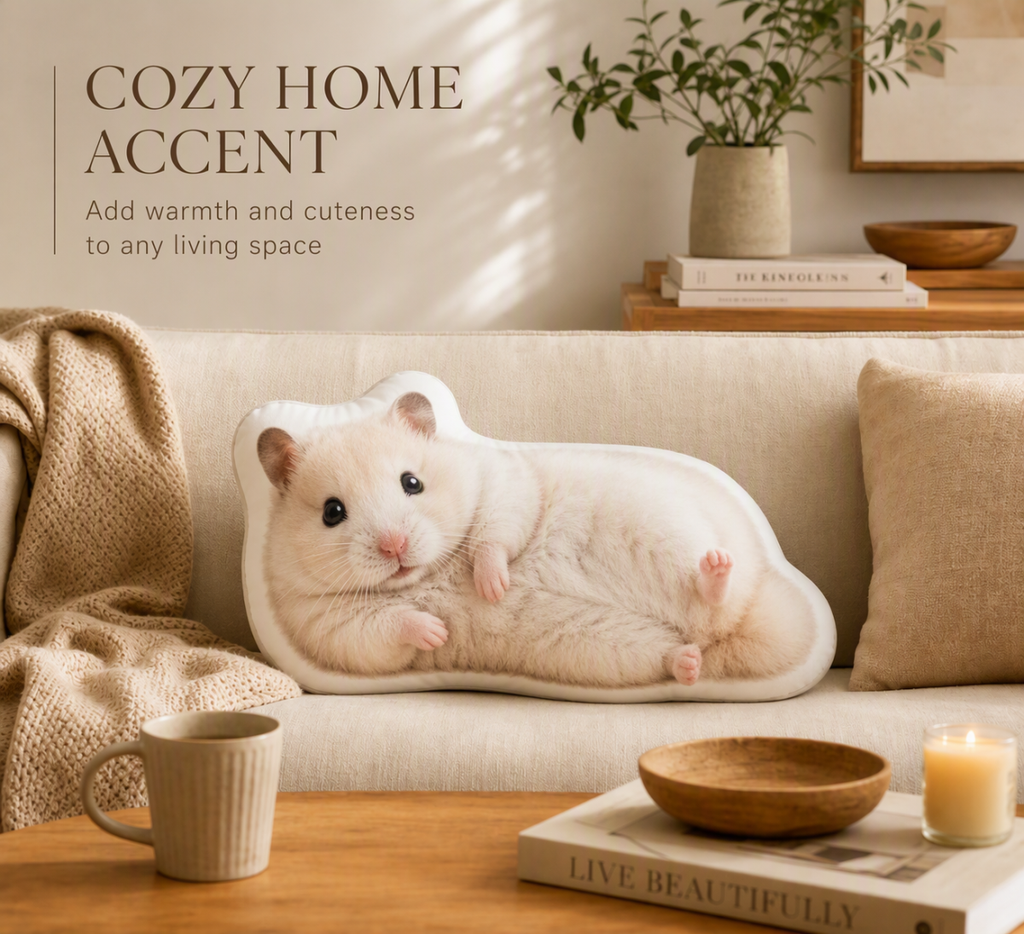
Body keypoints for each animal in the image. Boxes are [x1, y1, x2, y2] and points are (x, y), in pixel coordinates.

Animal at [257, 392, 815, 688]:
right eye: (332, 513)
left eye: (412, 482)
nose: (394, 548)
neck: (430, 572)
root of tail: (727, 635)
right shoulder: (328, 626)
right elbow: (390, 626)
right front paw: (439, 630)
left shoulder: (502, 487)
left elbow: (494, 538)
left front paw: (491, 589)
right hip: (608, 650)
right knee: (676, 650)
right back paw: (689, 661)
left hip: (666, 533)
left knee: (714, 589)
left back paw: (717, 569)